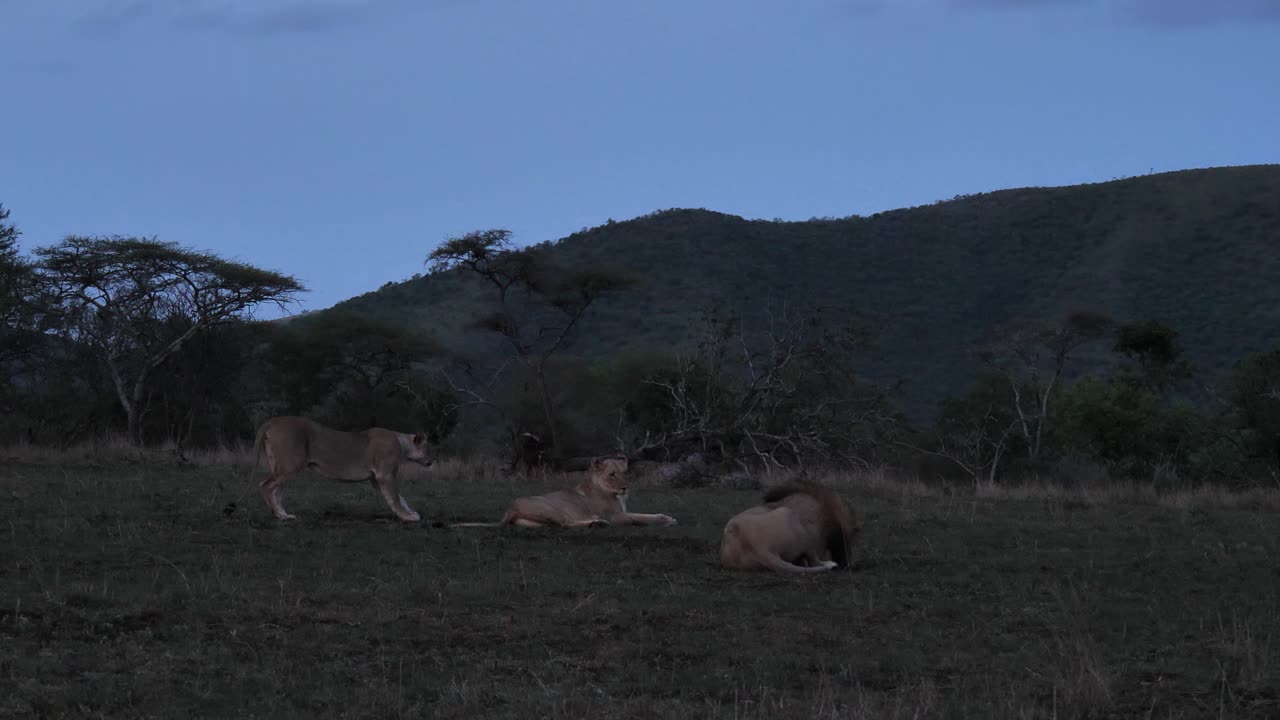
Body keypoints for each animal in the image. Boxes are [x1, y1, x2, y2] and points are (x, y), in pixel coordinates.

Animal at [250, 415, 434, 522]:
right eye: (427, 448)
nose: (431, 461)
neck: (403, 445)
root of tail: (273, 420)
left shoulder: (375, 479)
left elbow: (401, 498)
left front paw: (410, 512)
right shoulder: (384, 475)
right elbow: (395, 498)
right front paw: (407, 517)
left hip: (282, 467)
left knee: (276, 491)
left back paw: (284, 514)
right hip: (289, 466)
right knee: (265, 485)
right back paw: (278, 515)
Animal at [451, 455, 677, 528]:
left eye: (624, 473)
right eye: (612, 474)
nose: (625, 487)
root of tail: (509, 510)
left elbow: (646, 513)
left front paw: (668, 517)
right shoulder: (616, 517)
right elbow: (641, 518)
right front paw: (666, 521)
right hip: (553, 508)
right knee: (565, 524)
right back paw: (597, 523)